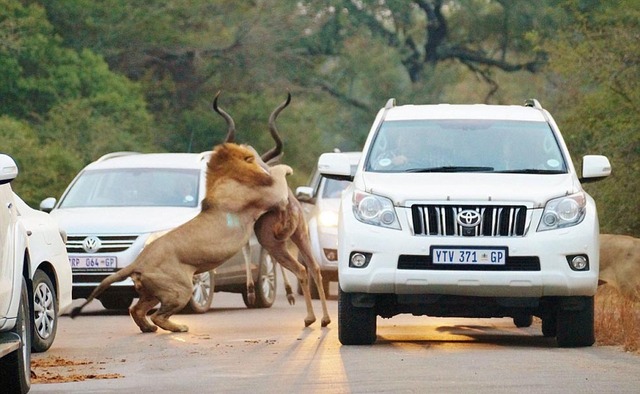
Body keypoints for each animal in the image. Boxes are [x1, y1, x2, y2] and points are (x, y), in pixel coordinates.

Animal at [69, 142, 290, 332]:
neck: (223, 176)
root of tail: (138, 262)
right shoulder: (273, 195)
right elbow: (279, 176)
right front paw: (285, 168)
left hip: (153, 292)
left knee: (137, 310)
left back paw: (148, 328)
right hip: (181, 288)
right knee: (157, 315)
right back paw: (178, 327)